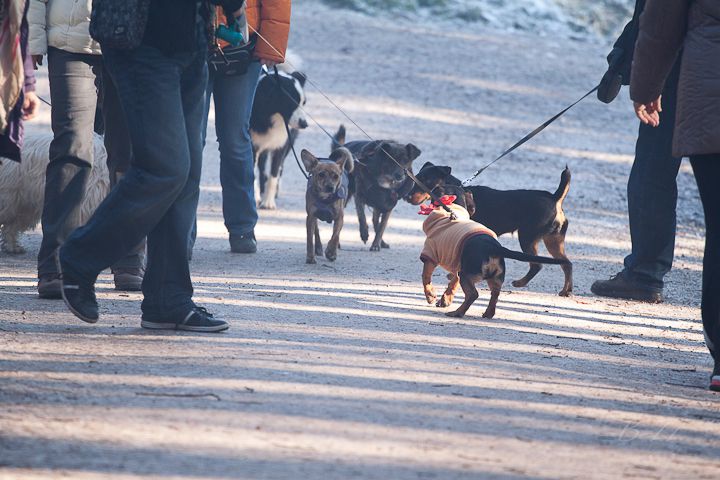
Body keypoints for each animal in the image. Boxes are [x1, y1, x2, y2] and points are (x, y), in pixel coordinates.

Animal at [420, 202, 572, 318]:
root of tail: (493, 248)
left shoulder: (430, 257)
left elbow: (426, 278)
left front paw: (430, 296)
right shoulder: (457, 265)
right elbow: (452, 283)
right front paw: (445, 299)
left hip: (467, 275)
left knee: (473, 295)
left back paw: (457, 312)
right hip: (495, 278)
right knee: (495, 294)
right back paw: (488, 313)